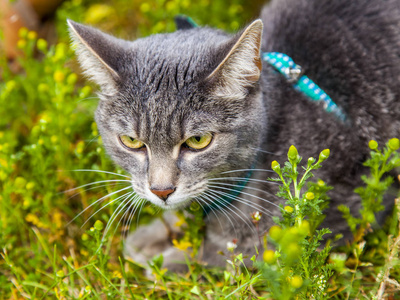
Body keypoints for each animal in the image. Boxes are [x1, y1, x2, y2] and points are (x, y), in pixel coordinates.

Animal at [68, 0, 400, 270]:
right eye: (132, 142)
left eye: (198, 141)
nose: (161, 191)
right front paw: (160, 231)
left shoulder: (351, 201)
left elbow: (245, 251)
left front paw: (173, 258)